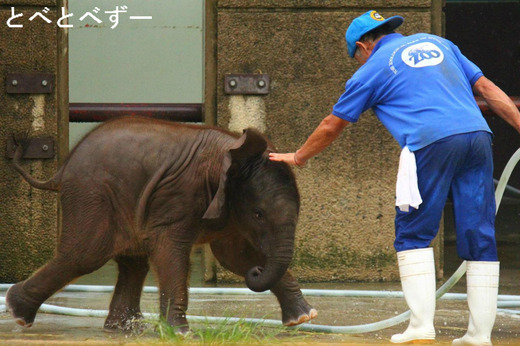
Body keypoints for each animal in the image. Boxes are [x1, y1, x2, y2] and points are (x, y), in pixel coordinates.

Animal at [7, 117, 316, 336]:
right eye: (258, 214)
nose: (259, 271)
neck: (229, 152)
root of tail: (61, 170)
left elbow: (234, 257)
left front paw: (304, 317)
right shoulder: (179, 194)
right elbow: (171, 250)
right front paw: (181, 333)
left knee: (133, 262)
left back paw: (125, 329)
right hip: (91, 194)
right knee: (85, 255)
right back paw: (16, 312)